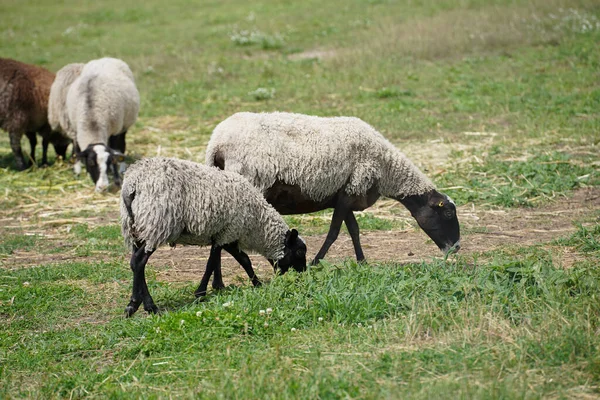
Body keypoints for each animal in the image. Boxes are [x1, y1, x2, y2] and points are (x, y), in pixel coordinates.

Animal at [48, 57, 140, 192]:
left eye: (108, 162)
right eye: (91, 163)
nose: (102, 187)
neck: (92, 120)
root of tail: (107, 58)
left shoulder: (115, 130)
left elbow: (115, 149)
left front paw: (116, 177)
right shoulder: (75, 129)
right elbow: (76, 150)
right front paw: (78, 171)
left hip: (123, 124)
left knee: (121, 146)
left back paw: (122, 167)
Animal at [119, 156, 308, 316]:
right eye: (299, 252)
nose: (304, 275)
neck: (256, 224)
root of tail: (132, 184)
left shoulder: (226, 234)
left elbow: (242, 260)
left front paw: (253, 283)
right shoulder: (229, 231)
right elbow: (212, 262)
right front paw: (201, 293)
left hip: (136, 227)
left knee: (135, 263)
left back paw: (137, 304)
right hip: (157, 224)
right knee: (139, 261)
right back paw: (146, 306)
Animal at [205, 111, 460, 266]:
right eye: (448, 213)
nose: (456, 248)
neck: (386, 168)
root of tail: (217, 142)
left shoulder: (346, 193)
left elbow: (354, 230)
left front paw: (362, 262)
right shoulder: (353, 188)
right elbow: (335, 232)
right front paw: (316, 262)